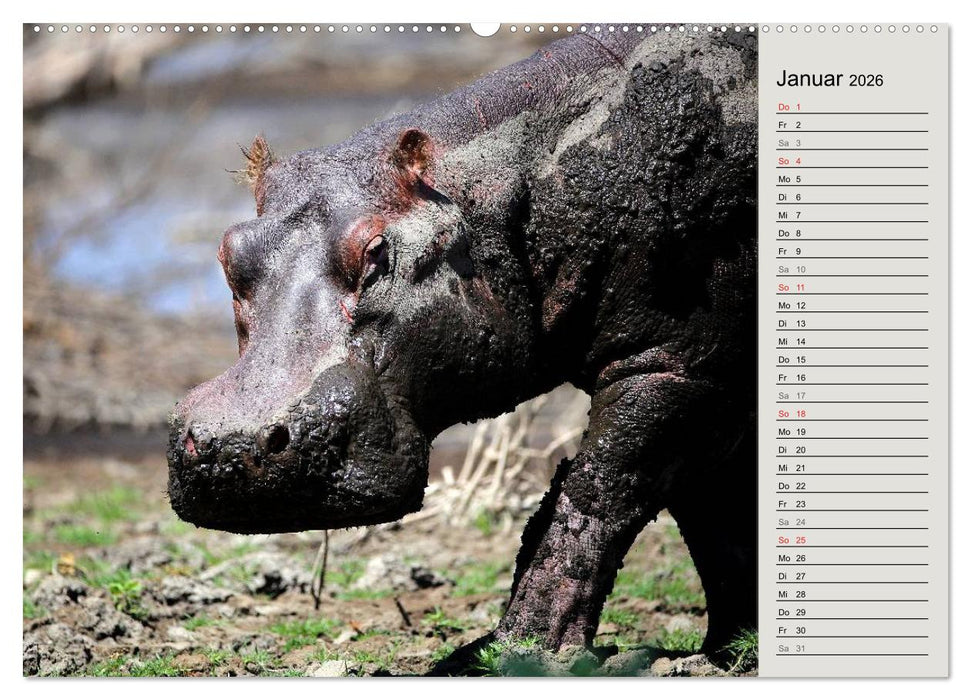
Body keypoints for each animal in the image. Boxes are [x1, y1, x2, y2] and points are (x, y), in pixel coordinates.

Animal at [168, 28, 758, 657]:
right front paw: (731, 645)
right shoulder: (712, 384)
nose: (231, 443)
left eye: (375, 251)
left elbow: (596, 496)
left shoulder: (678, 366)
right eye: (229, 251)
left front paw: (521, 650)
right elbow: (716, 519)